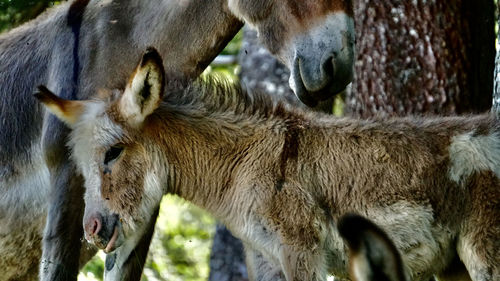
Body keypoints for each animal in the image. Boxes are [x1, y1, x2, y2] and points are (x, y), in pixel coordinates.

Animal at [37, 49, 500, 278]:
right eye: (80, 167)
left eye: (113, 153)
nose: (93, 230)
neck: (247, 164)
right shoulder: (264, 257)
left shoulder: (303, 254)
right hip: (455, 268)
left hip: (484, 255)